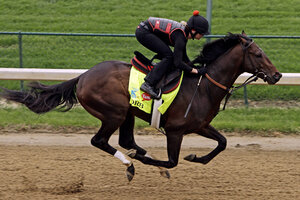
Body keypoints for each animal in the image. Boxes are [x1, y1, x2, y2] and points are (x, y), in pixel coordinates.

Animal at [0, 31, 282, 181]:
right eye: (258, 54)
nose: (277, 75)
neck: (202, 85)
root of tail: (83, 76)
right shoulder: (175, 130)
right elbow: (172, 162)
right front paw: (151, 162)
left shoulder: (200, 125)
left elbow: (222, 143)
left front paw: (195, 157)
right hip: (114, 113)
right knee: (100, 141)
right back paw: (131, 163)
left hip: (127, 114)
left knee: (126, 140)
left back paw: (137, 157)